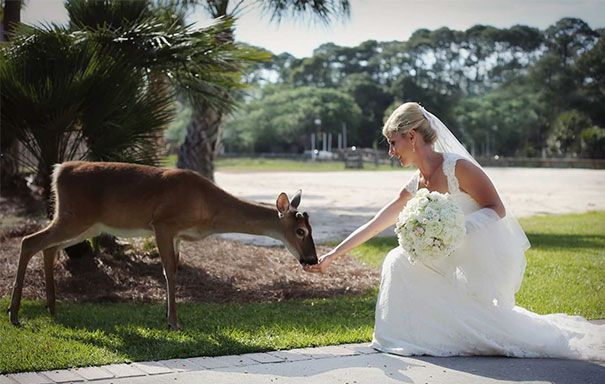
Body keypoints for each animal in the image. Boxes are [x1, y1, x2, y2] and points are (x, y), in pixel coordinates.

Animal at [8, 160, 316, 328]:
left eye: (311, 228)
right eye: (300, 231)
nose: (311, 259)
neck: (209, 208)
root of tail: (59, 170)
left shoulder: (177, 235)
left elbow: (174, 269)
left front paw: (169, 318)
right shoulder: (163, 224)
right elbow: (168, 271)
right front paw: (174, 322)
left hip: (87, 223)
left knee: (49, 247)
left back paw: (51, 307)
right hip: (74, 216)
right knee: (29, 241)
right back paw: (14, 314)